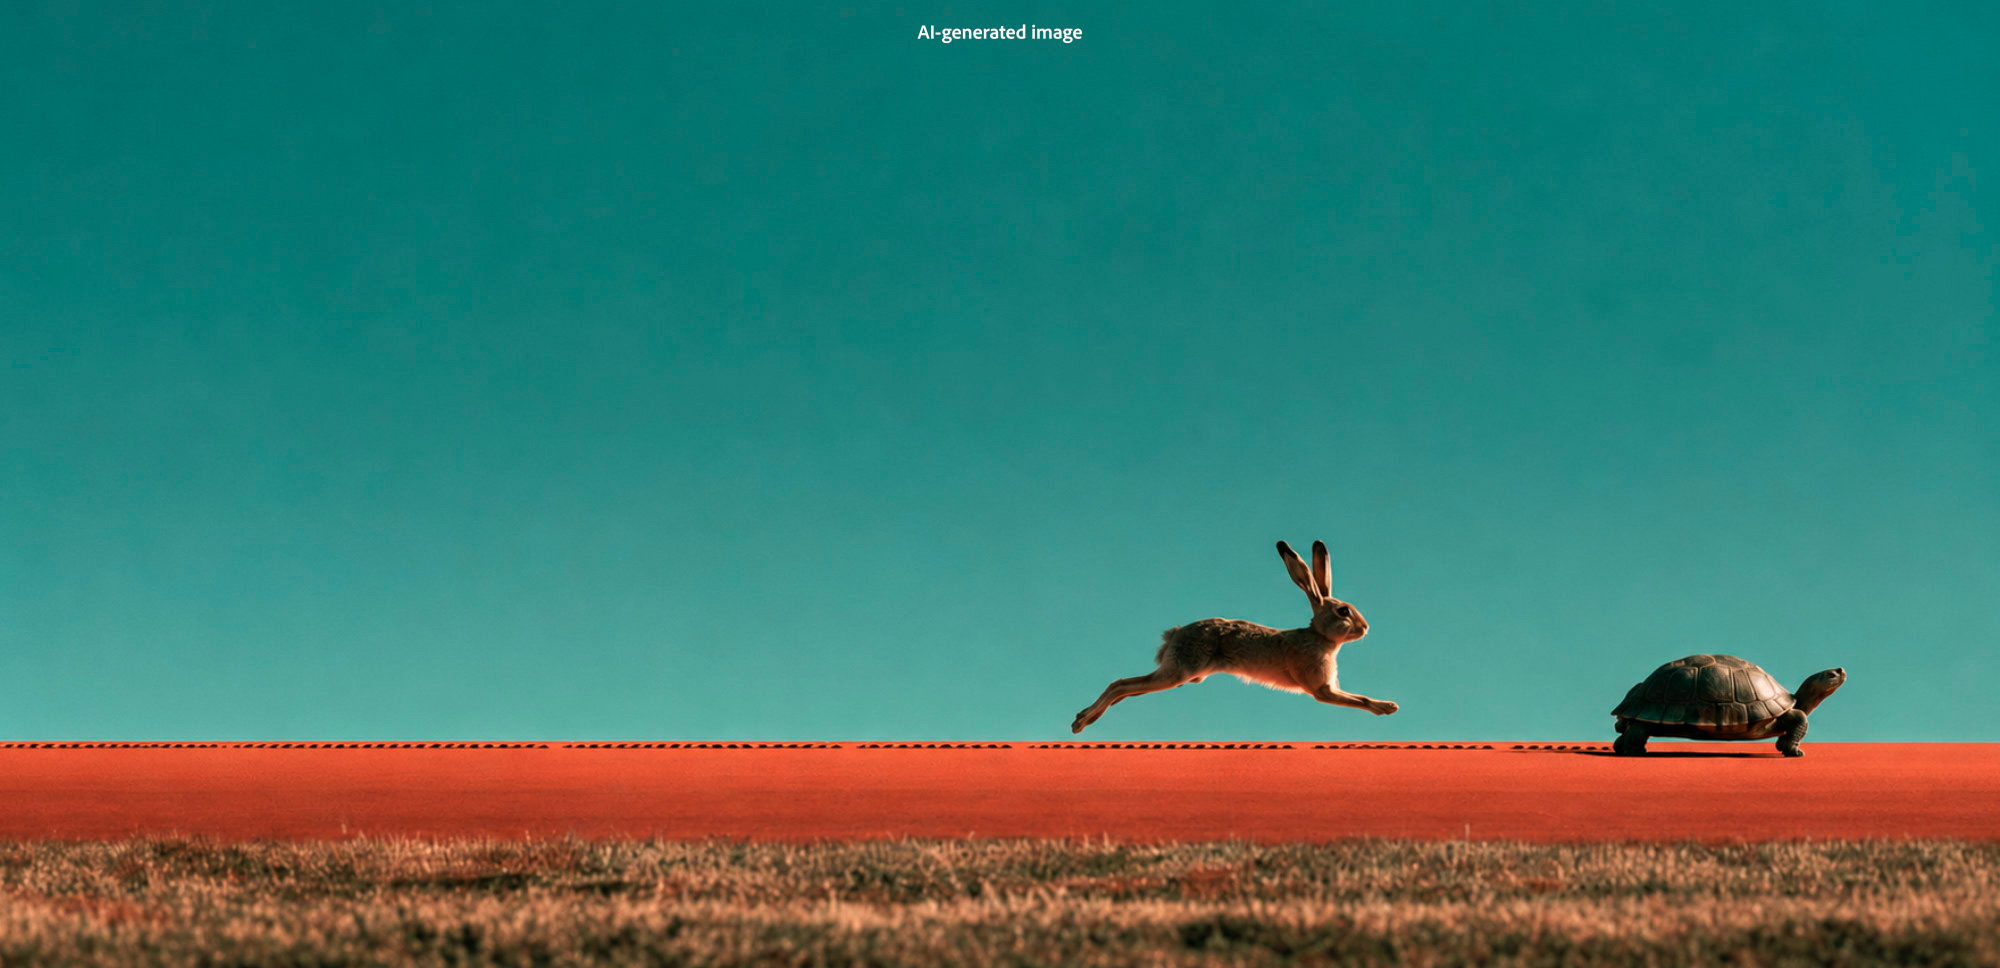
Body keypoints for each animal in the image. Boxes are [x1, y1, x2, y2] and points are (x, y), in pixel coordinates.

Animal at [1071, 540, 1398, 733]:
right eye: (1344, 611)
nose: (1366, 627)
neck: (1320, 637)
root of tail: (1174, 634)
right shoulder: (1322, 690)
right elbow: (1359, 699)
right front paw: (1388, 708)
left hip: (1181, 675)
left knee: (1124, 688)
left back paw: (1085, 717)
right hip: (1180, 672)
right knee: (1121, 685)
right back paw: (1081, 722)